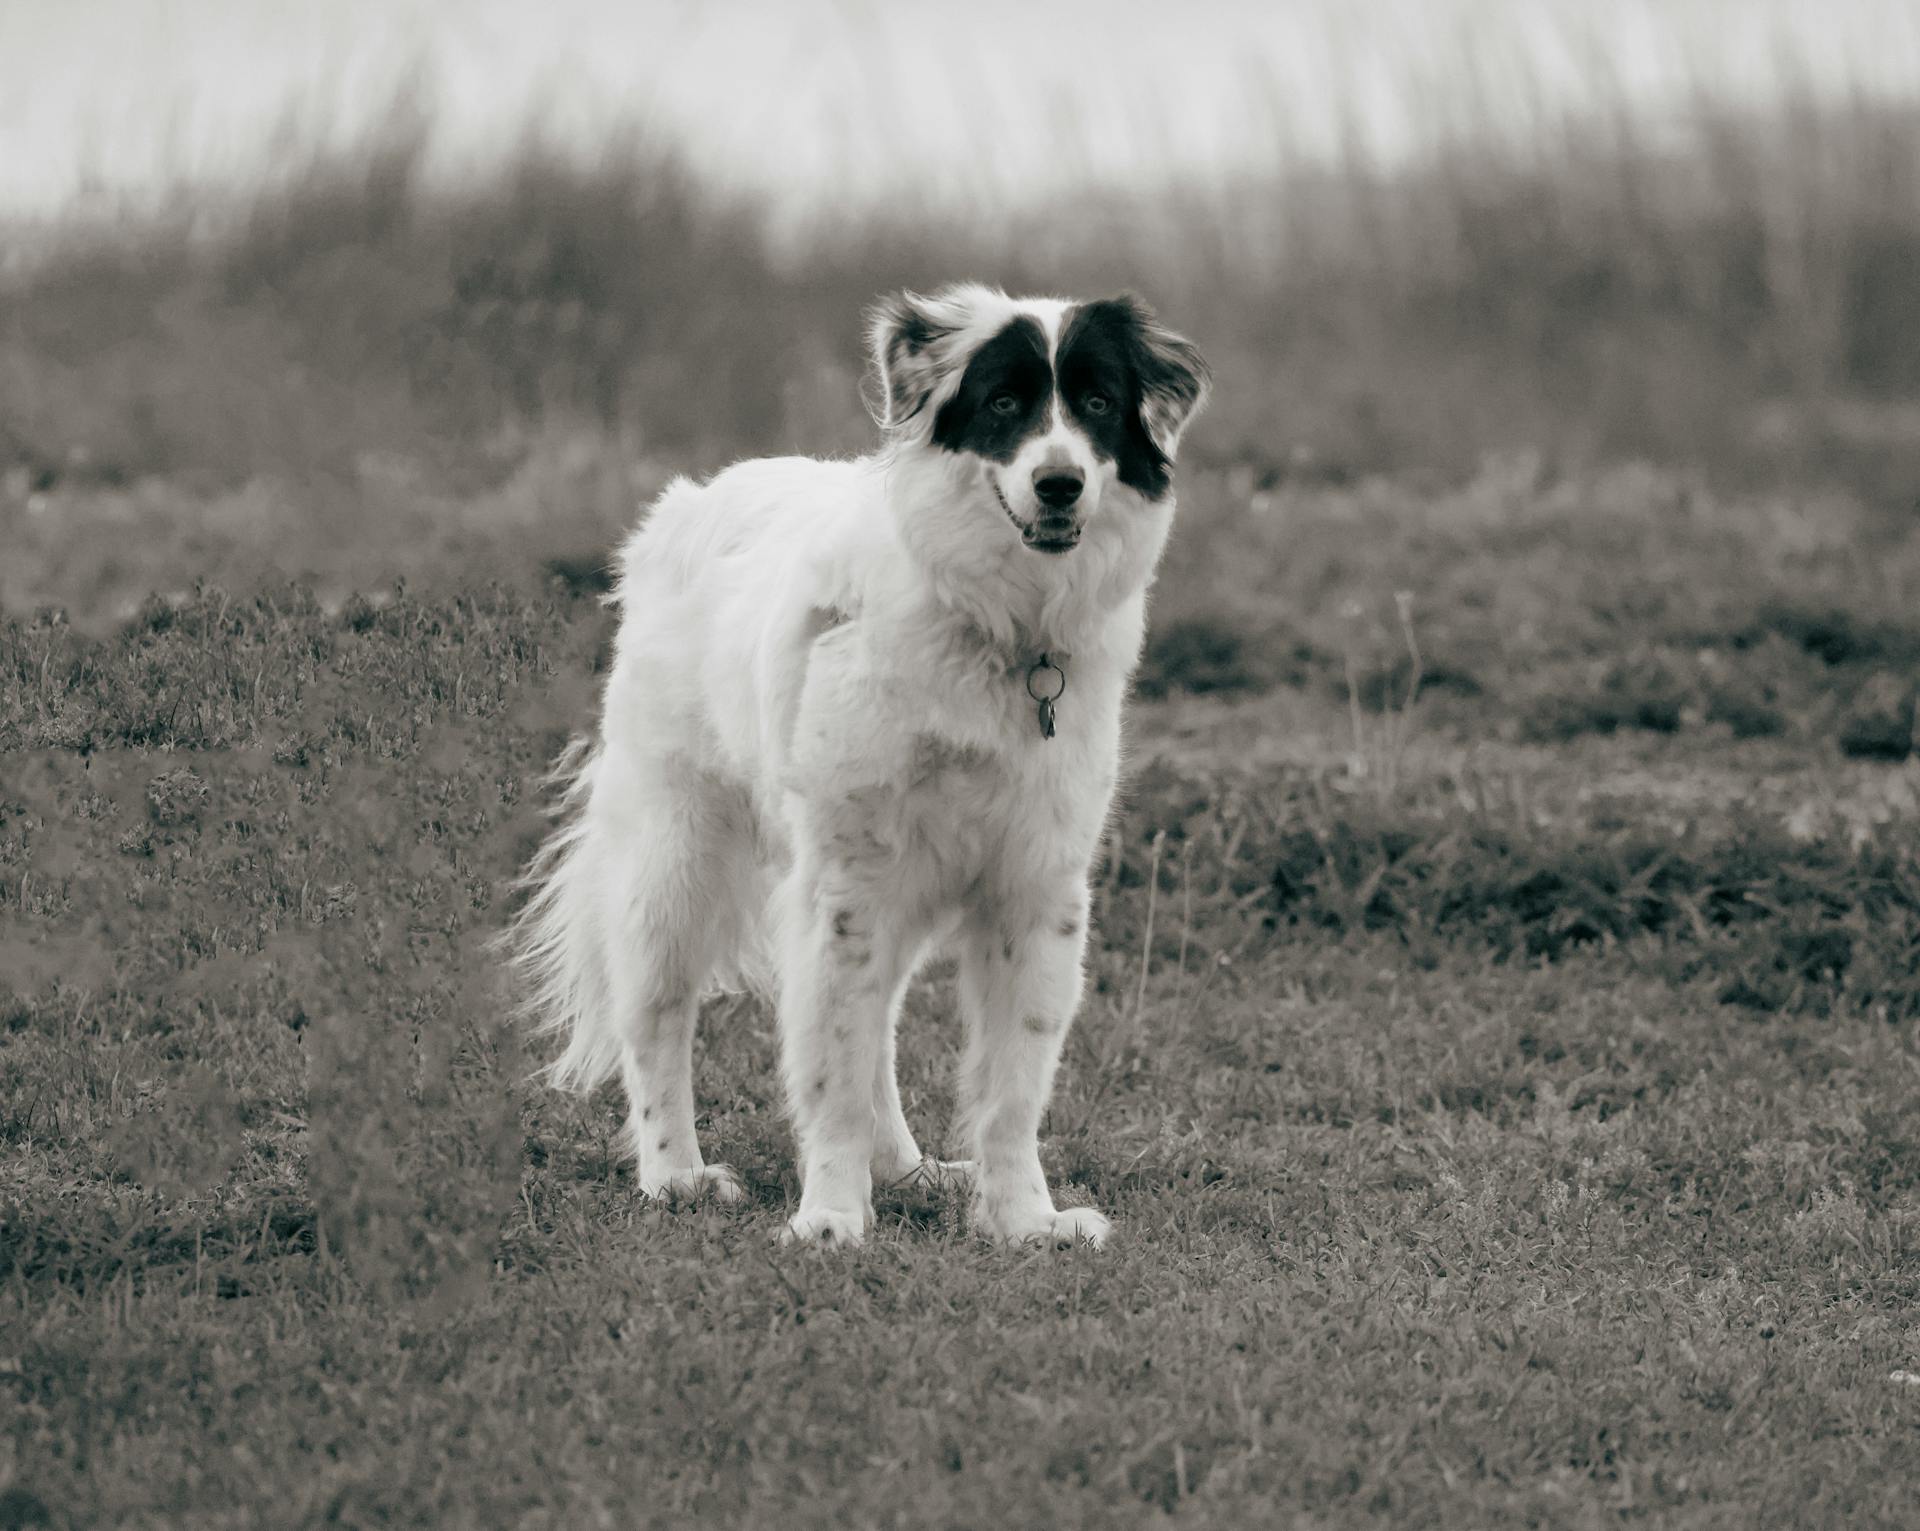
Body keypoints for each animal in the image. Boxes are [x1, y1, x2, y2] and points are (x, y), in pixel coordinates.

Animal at [503, 286, 1205, 1244]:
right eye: (1004, 403)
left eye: (1097, 403)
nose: (1060, 482)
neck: (997, 630)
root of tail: (690, 502)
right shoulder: (847, 884)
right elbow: (830, 1066)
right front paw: (831, 1217)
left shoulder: (1033, 886)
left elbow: (1012, 1082)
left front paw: (1024, 1219)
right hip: (674, 861)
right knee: (656, 1016)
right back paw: (675, 1173)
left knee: (878, 1032)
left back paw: (906, 1168)